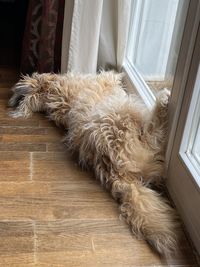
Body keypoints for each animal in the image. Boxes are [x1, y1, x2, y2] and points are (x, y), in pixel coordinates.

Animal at [8, 71, 179, 255]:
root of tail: (116, 173)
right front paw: (119, 76)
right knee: (151, 134)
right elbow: (111, 76)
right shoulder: (102, 81)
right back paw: (163, 100)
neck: (51, 90)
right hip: (120, 115)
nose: (12, 100)